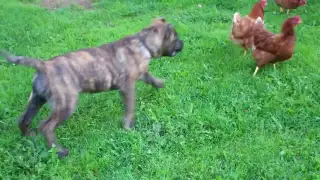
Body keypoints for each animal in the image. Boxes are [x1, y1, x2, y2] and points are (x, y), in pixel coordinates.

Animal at [0, 17, 184, 158]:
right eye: (175, 37)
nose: (182, 43)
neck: (143, 42)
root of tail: (43, 66)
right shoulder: (128, 87)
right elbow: (130, 108)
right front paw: (128, 127)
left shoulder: (142, 73)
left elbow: (151, 78)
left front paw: (160, 84)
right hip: (66, 104)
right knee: (46, 127)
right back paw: (60, 152)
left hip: (36, 99)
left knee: (24, 119)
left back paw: (28, 136)